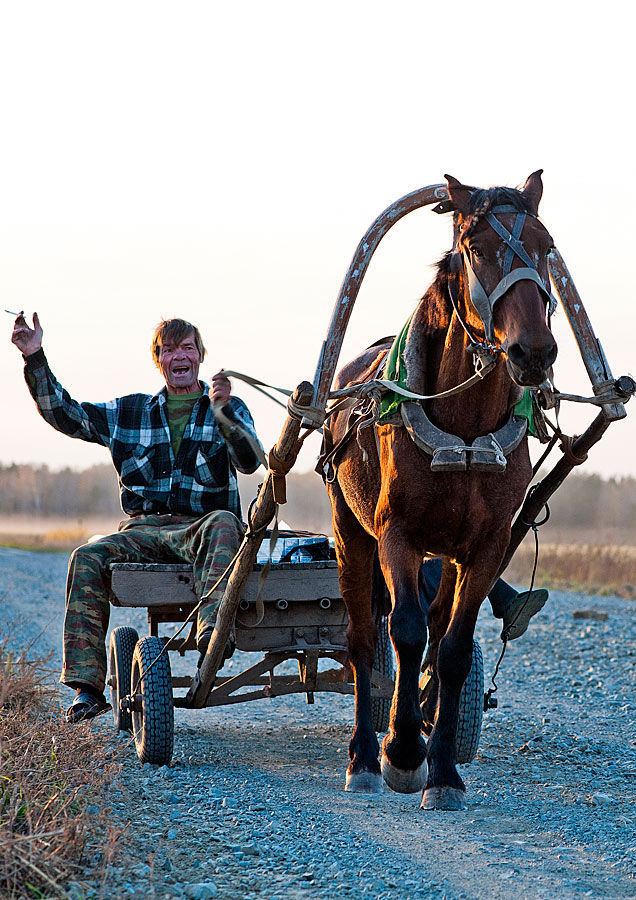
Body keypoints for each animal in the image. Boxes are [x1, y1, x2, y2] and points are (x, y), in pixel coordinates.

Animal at [323, 171, 557, 810]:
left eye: (546, 247)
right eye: (476, 248)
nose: (534, 351)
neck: (466, 426)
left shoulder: (484, 545)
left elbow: (451, 648)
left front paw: (443, 770)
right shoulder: (396, 534)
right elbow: (402, 630)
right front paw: (401, 753)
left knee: (433, 623)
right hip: (349, 533)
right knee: (362, 638)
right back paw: (364, 754)